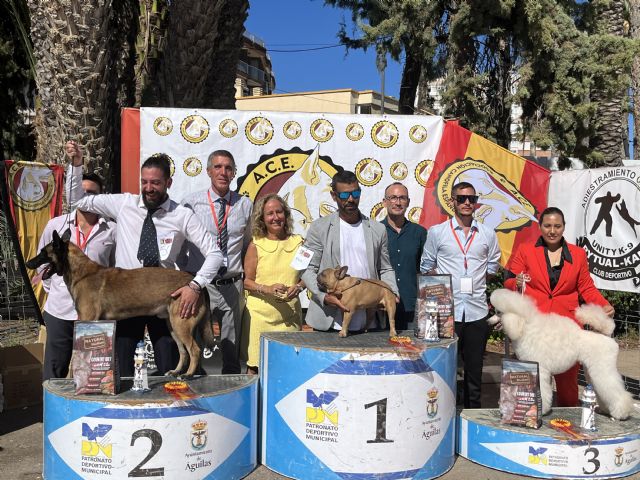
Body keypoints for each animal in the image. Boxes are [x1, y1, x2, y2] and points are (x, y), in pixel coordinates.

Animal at [26, 231, 215, 376]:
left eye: (43, 252)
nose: (28, 263)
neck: (81, 273)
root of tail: (194, 282)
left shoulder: (87, 319)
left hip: (181, 325)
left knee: (194, 350)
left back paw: (188, 375)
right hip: (173, 326)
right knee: (183, 352)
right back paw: (176, 372)